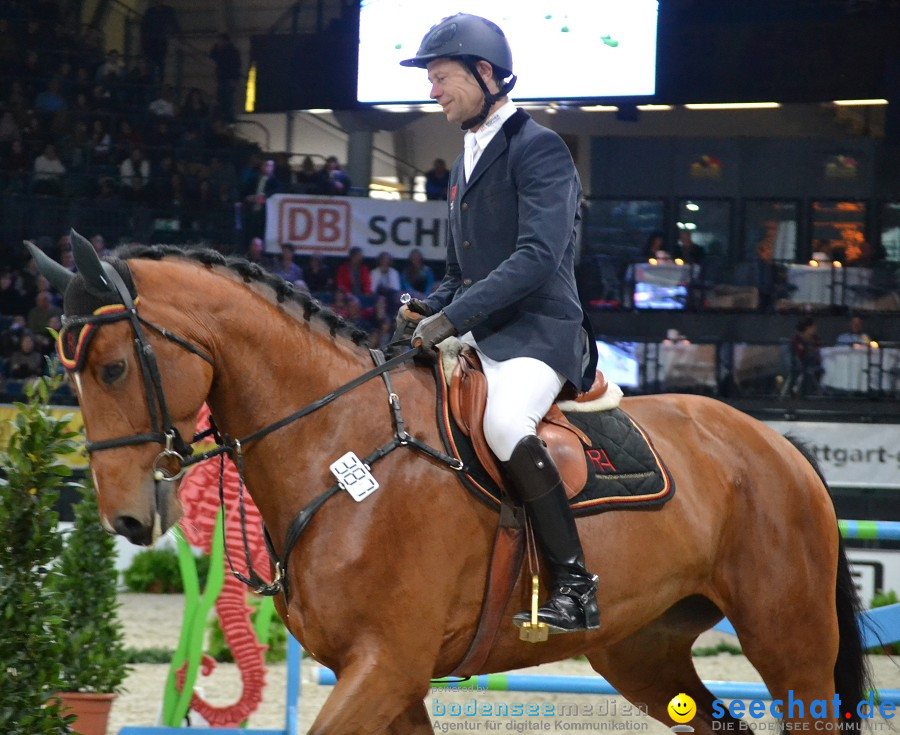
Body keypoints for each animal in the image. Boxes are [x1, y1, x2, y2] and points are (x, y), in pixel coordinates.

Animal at [31, 237, 868, 735]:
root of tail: (778, 445)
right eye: (68, 374)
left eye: (112, 367)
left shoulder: (388, 663)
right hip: (643, 649)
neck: (340, 448)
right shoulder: (390, 677)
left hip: (791, 642)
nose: (127, 519)